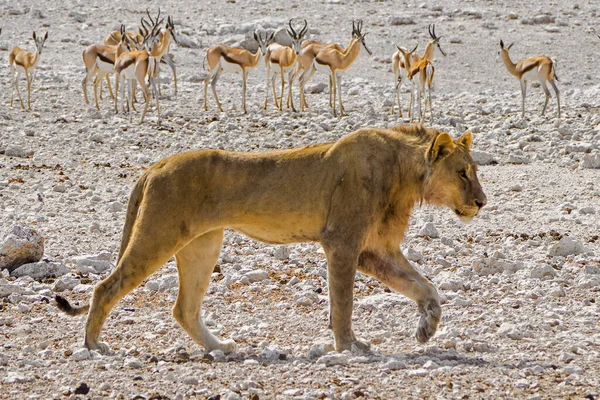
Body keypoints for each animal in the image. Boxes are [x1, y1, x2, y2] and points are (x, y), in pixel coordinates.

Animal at [55, 124, 488, 354]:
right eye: (463, 173)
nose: (482, 202)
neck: (405, 175)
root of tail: (156, 165)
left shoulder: (374, 250)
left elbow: (424, 286)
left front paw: (427, 327)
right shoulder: (343, 242)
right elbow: (343, 303)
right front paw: (349, 347)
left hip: (203, 245)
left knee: (184, 308)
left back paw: (220, 348)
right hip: (157, 235)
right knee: (106, 287)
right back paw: (93, 347)